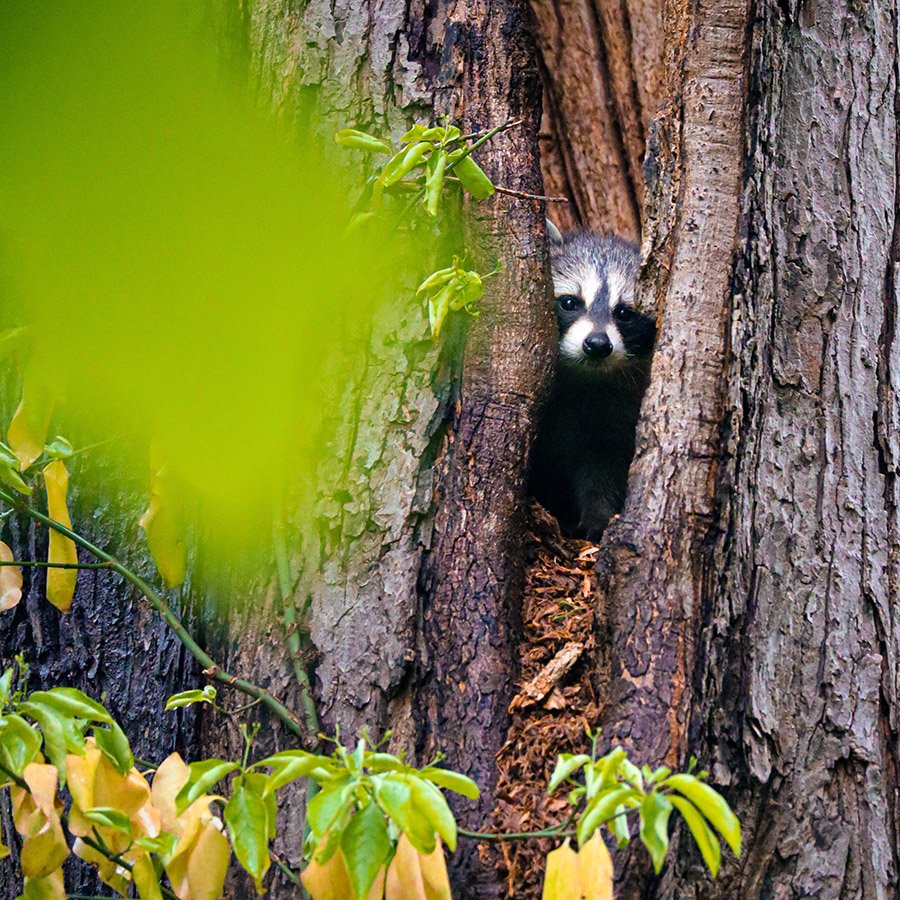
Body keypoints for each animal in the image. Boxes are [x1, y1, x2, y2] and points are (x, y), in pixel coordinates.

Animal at [532, 223, 656, 540]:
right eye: (569, 302)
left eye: (624, 313)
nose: (598, 344)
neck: (583, 377)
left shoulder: (615, 410)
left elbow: (603, 464)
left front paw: (598, 515)